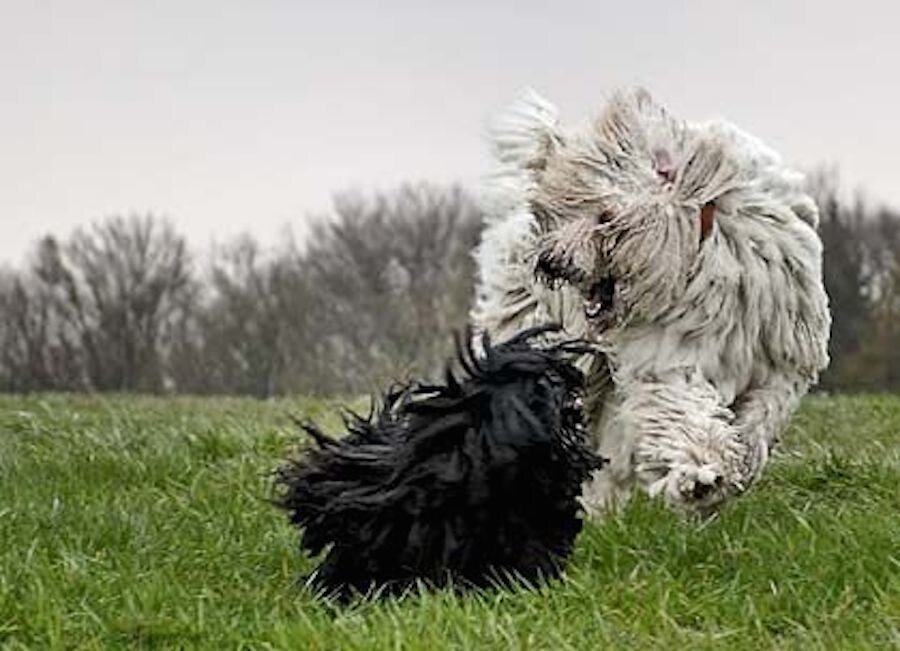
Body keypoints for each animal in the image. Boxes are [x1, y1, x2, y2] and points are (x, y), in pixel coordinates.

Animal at [474, 89, 832, 516]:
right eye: (569, 211)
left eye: (604, 215)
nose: (549, 260)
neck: (698, 249)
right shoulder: (668, 357)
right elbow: (682, 407)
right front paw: (700, 475)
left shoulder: (782, 359)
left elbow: (763, 413)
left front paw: (740, 459)